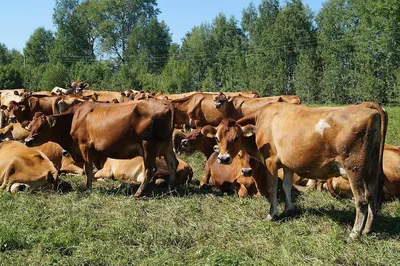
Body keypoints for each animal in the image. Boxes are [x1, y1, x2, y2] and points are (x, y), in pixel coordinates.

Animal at [24, 98, 178, 196]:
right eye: (30, 126)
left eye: (42, 127)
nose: (27, 141)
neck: (74, 118)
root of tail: (164, 102)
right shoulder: (96, 153)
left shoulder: (84, 145)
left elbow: (87, 168)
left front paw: (88, 187)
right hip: (166, 145)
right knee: (173, 164)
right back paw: (171, 189)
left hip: (148, 145)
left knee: (150, 169)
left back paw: (139, 193)